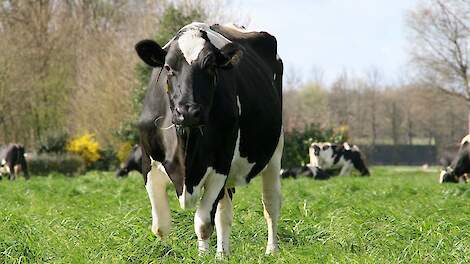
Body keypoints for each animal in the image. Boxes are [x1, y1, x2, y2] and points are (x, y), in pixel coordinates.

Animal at [134, 21, 284, 256]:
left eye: (211, 67)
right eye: (167, 68)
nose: (188, 111)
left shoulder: (220, 166)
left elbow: (203, 223)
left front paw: (202, 256)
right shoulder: (148, 165)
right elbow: (161, 226)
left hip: (275, 152)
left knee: (270, 203)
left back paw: (271, 250)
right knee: (225, 214)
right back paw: (223, 254)